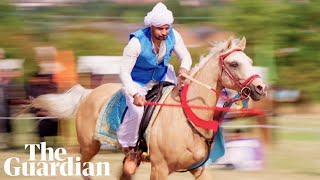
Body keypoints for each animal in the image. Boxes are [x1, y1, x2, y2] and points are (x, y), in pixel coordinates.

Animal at [28, 37, 266, 179]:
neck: (186, 119)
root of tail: (88, 93)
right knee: (83, 166)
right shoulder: (159, 169)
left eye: (249, 60)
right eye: (234, 63)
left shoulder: (199, 169)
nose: (261, 88)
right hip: (89, 147)